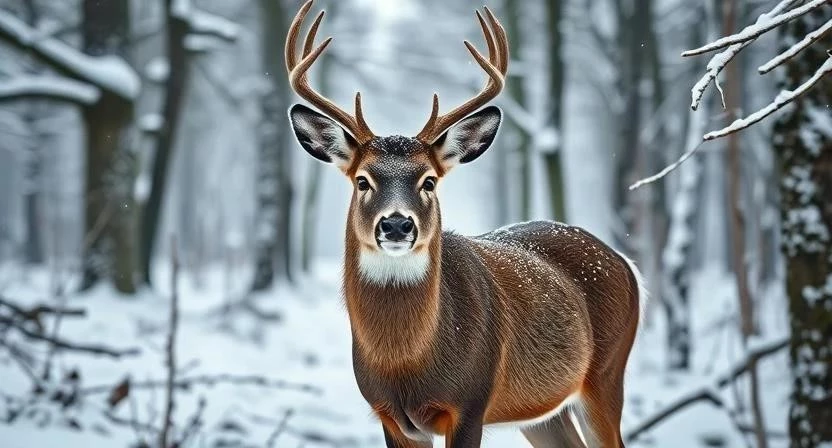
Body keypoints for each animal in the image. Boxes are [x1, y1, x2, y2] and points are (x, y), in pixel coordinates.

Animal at [284, 2, 644, 447]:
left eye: (429, 181)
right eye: (363, 180)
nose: (397, 225)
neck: (404, 362)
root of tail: (625, 263)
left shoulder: (471, 403)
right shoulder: (389, 415)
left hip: (607, 372)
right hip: (542, 412)